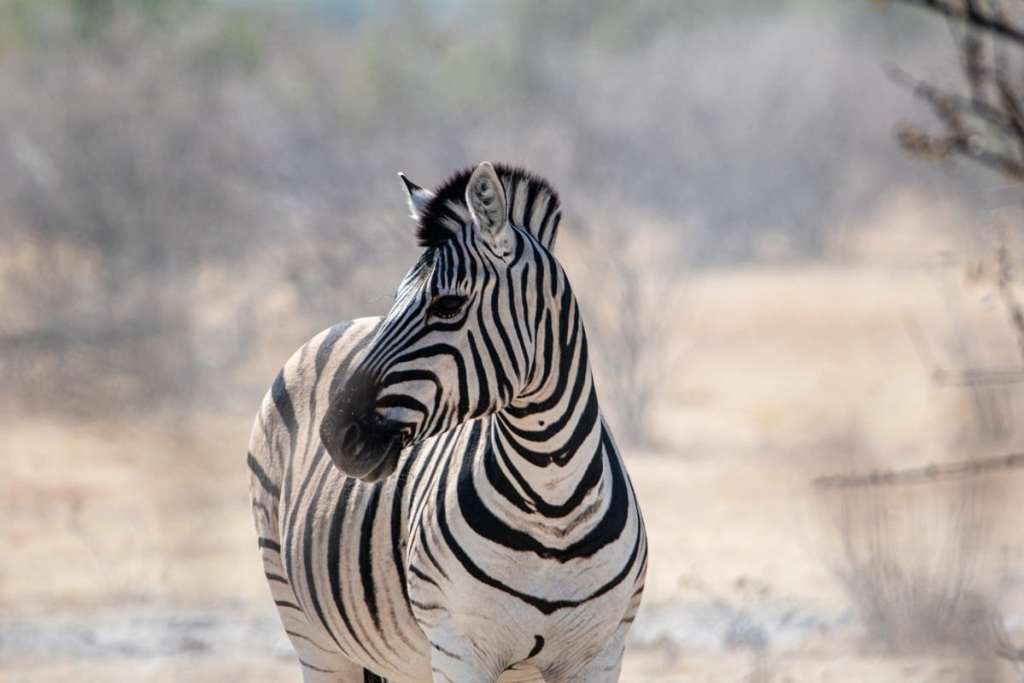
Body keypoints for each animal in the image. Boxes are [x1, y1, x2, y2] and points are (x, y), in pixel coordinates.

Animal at [248, 161, 648, 682]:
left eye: (448, 306)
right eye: (395, 300)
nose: (335, 435)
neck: (552, 500)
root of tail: (340, 325)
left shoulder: (600, 655)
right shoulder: (460, 648)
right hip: (310, 634)